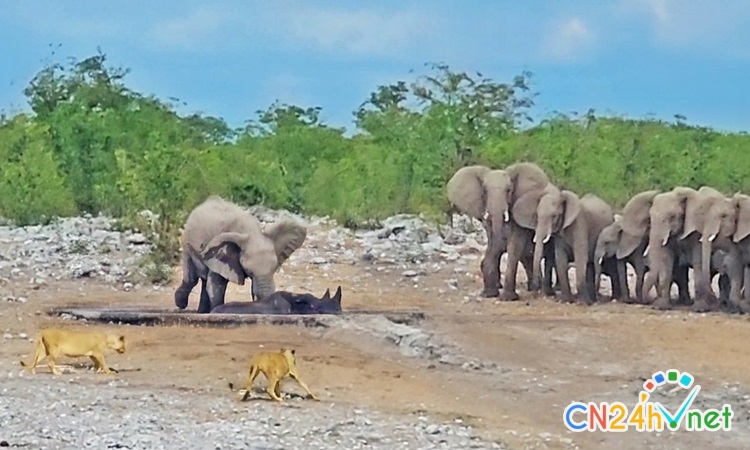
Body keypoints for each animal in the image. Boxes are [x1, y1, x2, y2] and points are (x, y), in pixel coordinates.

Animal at [175, 195, 306, 314]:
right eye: (249, 271)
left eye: (274, 268)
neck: (252, 233)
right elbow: (216, 285)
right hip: (186, 241)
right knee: (192, 279)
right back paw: (181, 304)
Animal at [450, 163, 556, 298]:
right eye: (485, 191)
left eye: (508, 190)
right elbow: (493, 242)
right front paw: (489, 294)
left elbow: (515, 245)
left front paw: (507, 298)